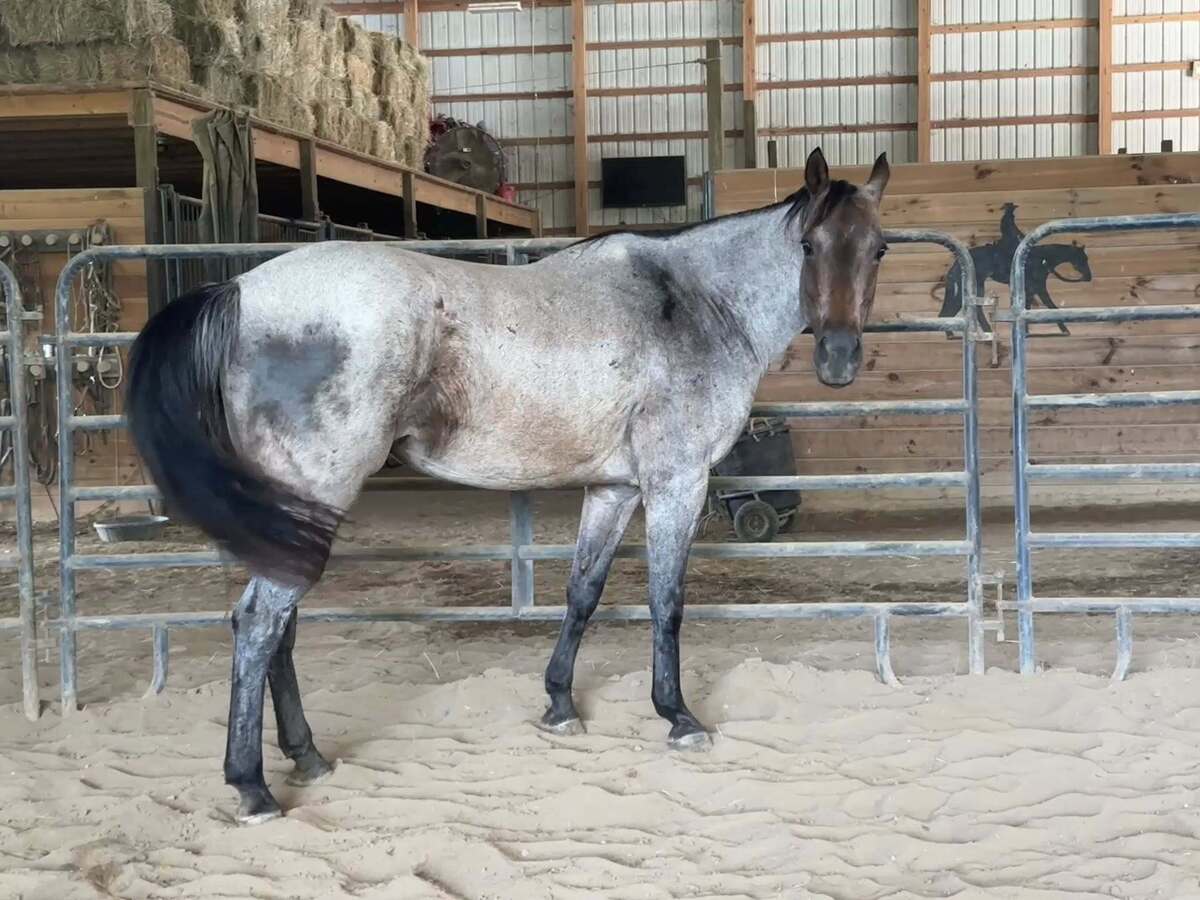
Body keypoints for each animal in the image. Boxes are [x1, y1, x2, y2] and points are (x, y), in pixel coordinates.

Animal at [126, 147, 892, 825]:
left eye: (879, 248)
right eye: (809, 246)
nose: (839, 359)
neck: (694, 302)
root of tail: (240, 292)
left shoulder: (614, 489)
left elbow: (583, 592)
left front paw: (559, 705)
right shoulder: (677, 482)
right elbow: (666, 602)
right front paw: (677, 715)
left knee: (276, 627)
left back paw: (306, 756)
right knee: (260, 623)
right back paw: (253, 787)